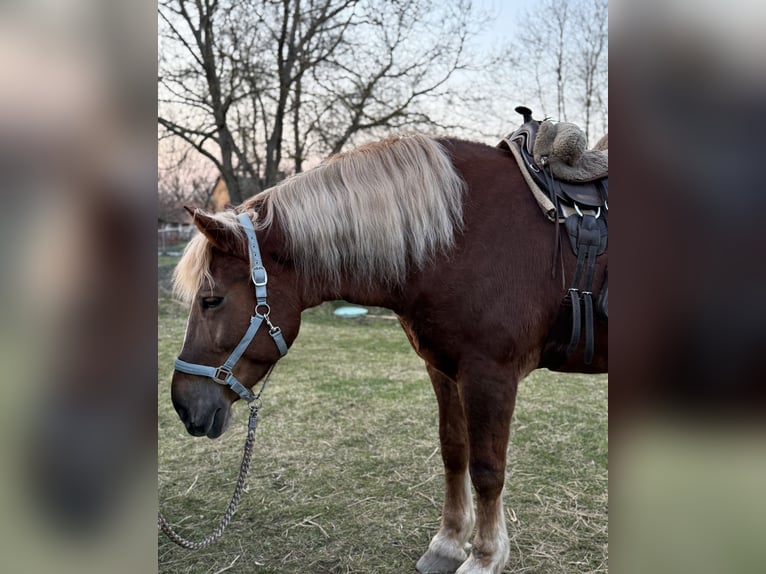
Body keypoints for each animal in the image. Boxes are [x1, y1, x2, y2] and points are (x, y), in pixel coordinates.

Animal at [169, 133, 608, 574]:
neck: (461, 238)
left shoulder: (490, 374)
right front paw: (448, 544)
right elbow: (454, 453)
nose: (184, 405)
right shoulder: (444, 369)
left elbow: (486, 469)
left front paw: (484, 557)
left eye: (211, 300)